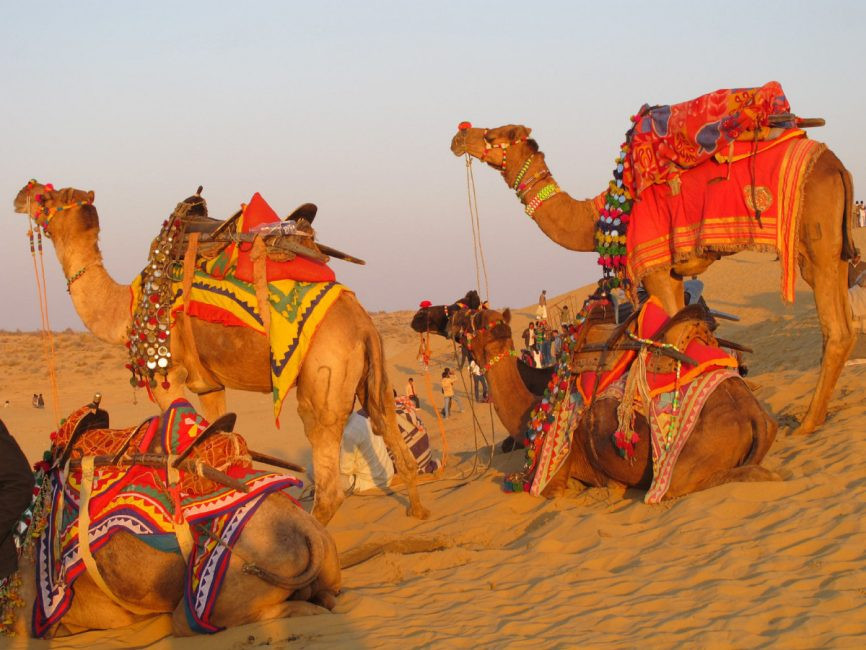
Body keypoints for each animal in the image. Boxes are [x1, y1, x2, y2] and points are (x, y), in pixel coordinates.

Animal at [11, 181, 430, 520]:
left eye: (49, 196)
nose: (22, 193)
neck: (125, 307)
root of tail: (363, 325)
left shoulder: (167, 376)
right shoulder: (210, 384)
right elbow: (217, 439)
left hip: (324, 376)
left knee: (327, 478)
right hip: (373, 376)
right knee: (388, 426)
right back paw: (418, 512)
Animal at [408, 302, 780, 498]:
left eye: (463, 313)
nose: (421, 315)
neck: (533, 412)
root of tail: (755, 415)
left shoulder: (557, 479)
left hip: (685, 465)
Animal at [452, 123, 856, 432]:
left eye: (494, 134)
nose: (460, 134)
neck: (601, 215)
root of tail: (839, 167)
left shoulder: (656, 268)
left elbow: (676, 339)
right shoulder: (673, 274)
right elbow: (688, 333)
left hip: (815, 239)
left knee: (835, 328)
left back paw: (806, 423)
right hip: (835, 250)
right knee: (847, 324)